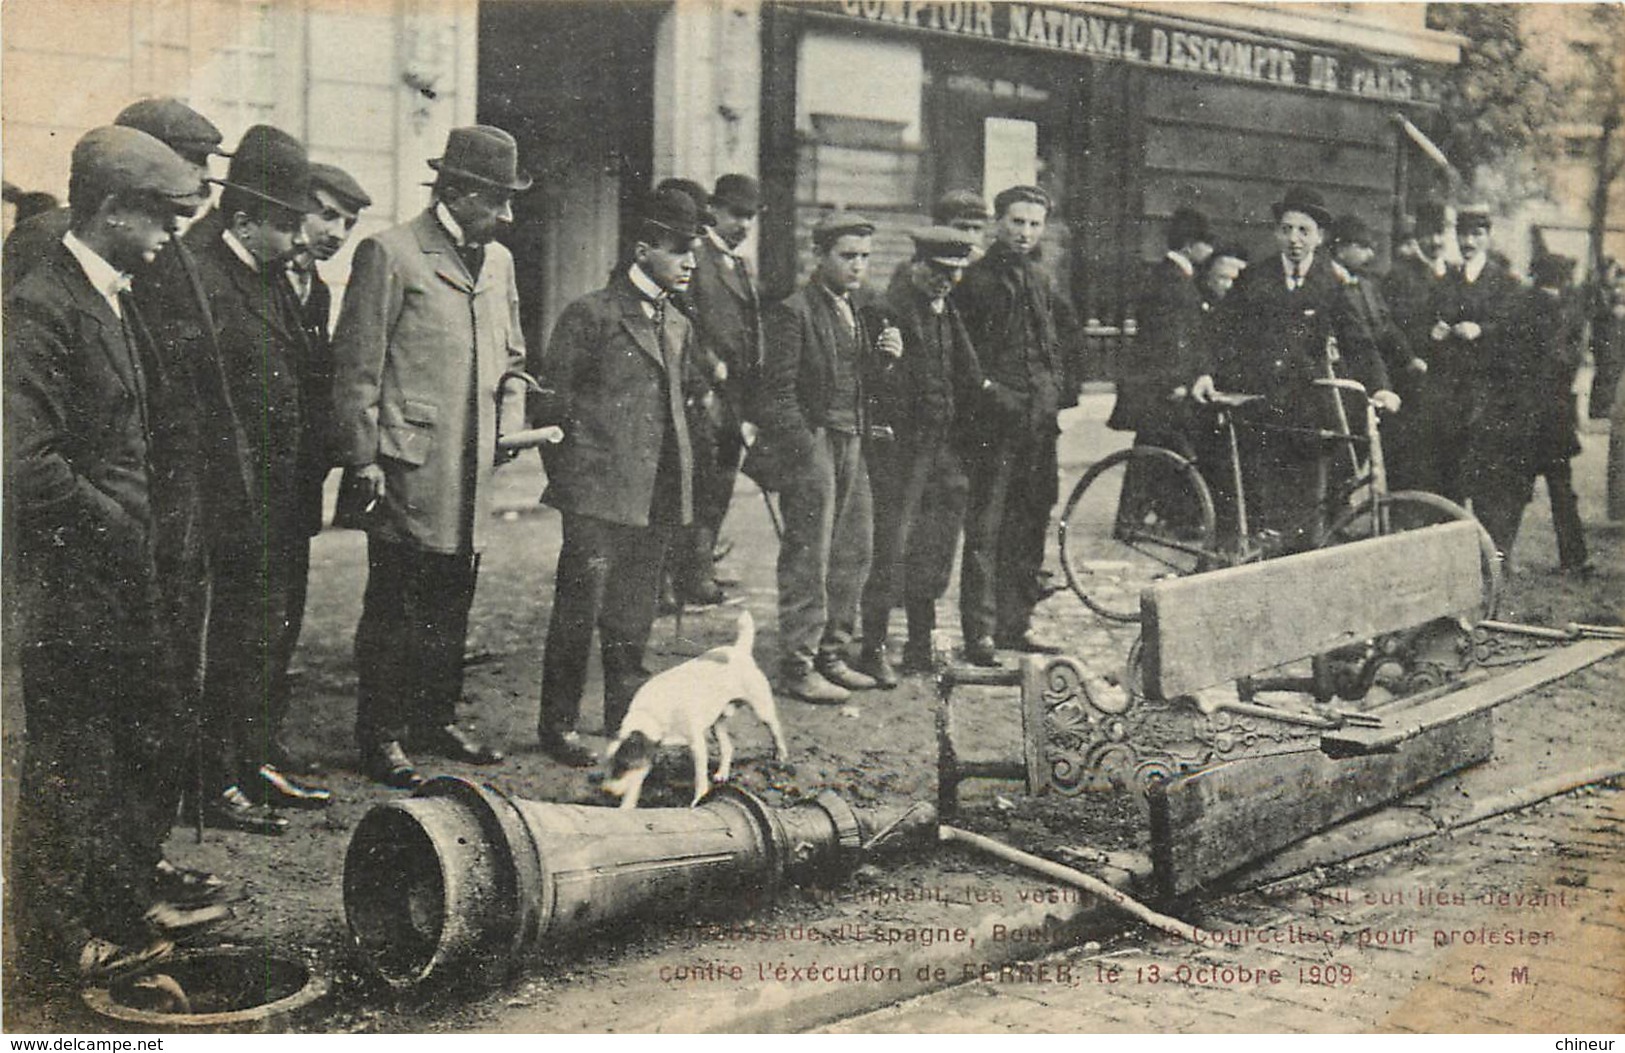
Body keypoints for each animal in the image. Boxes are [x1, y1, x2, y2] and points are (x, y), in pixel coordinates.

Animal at [607, 607, 789, 806]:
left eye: (622, 766)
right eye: (609, 766)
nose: (606, 791)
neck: (652, 713)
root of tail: (739, 650)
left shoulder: (697, 746)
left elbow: (700, 778)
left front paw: (698, 800)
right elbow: (635, 785)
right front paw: (626, 807)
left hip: (762, 709)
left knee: (776, 728)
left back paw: (781, 755)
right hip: (717, 724)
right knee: (727, 747)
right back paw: (722, 774)